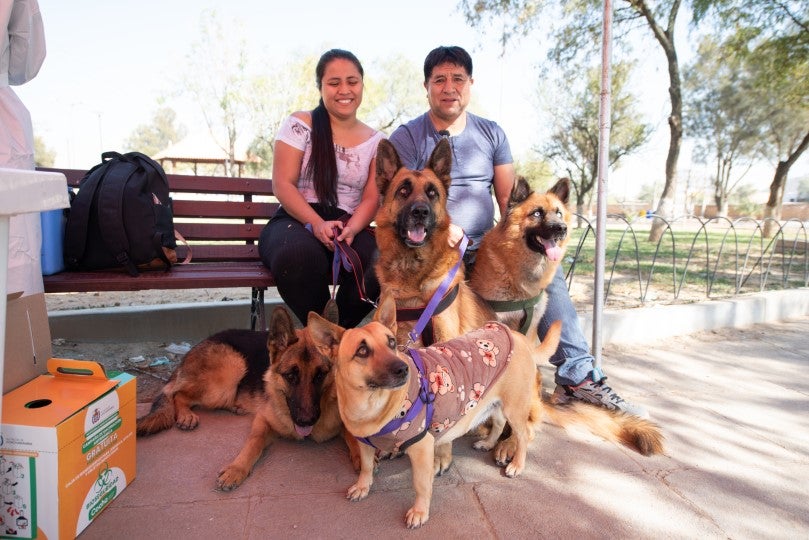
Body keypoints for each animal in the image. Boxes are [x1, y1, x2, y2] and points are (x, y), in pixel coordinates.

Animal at [136, 302, 356, 492]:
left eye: (320, 375)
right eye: (290, 376)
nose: (306, 420)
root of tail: (199, 344)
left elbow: (351, 433)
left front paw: (360, 459)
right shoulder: (262, 420)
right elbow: (253, 443)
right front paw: (236, 469)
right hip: (231, 370)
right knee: (178, 393)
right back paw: (186, 415)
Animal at [306, 296, 664, 528]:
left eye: (392, 343)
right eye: (362, 351)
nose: (402, 369)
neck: (372, 405)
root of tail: (519, 337)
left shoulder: (422, 449)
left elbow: (422, 484)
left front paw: (419, 512)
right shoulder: (364, 444)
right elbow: (367, 467)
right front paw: (363, 486)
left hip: (517, 407)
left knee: (523, 434)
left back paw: (516, 463)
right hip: (493, 403)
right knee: (498, 422)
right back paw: (489, 443)